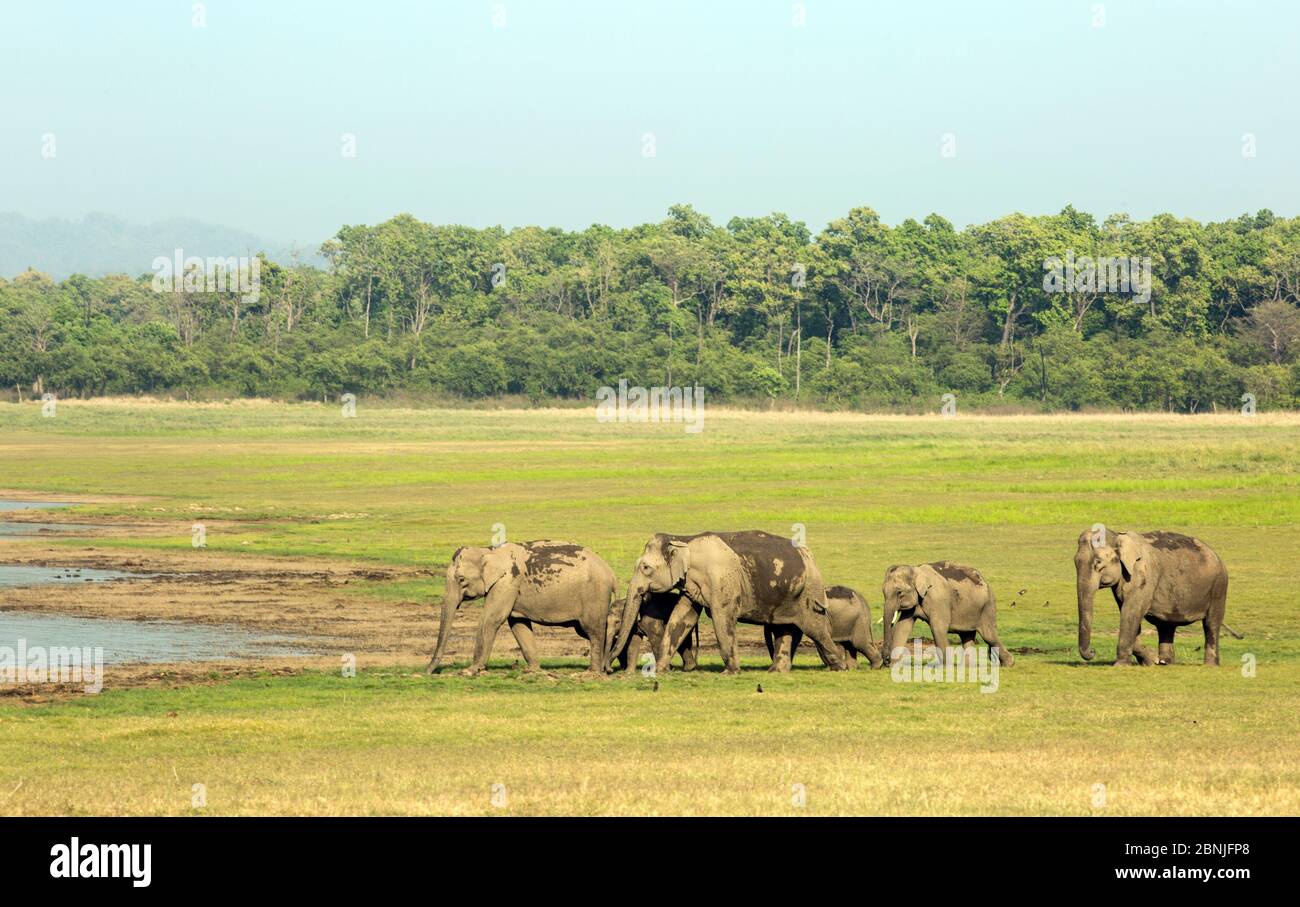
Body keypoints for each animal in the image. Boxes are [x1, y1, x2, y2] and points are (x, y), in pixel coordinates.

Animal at [421, 540, 613, 675]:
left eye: (461, 579)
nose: (426, 673)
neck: (488, 551)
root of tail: (611, 573)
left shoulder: (507, 583)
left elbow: (491, 619)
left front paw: (469, 671)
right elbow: (518, 624)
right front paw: (533, 671)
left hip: (594, 595)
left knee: (593, 630)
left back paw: (593, 672)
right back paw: (607, 668)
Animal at [605, 530, 847, 670]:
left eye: (645, 568)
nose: (607, 668)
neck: (684, 539)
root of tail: (811, 558)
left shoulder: (721, 579)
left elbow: (722, 617)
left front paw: (730, 672)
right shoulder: (692, 584)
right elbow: (682, 617)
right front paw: (661, 671)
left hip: (808, 593)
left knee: (815, 628)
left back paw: (840, 666)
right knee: (786, 628)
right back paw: (776, 672)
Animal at [759, 582, 889, 665]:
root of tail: (865, 602)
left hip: (860, 620)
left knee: (859, 643)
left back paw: (875, 666)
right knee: (849, 644)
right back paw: (852, 668)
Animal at [878, 558, 1008, 665]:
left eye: (899, 592)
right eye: (883, 592)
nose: (886, 661)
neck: (915, 569)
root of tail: (984, 581)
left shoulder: (938, 599)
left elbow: (938, 628)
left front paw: (947, 667)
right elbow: (902, 627)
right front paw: (894, 666)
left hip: (987, 607)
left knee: (989, 636)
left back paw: (1007, 664)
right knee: (967, 636)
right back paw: (966, 667)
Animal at [1076, 522, 1227, 665]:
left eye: (1098, 562)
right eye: (1075, 562)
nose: (1093, 651)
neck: (1117, 536)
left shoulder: (1145, 574)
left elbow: (1131, 612)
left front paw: (1122, 664)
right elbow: (1128, 613)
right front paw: (1151, 660)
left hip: (1218, 587)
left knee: (1211, 625)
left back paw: (1209, 665)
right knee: (1166, 626)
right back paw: (1165, 662)